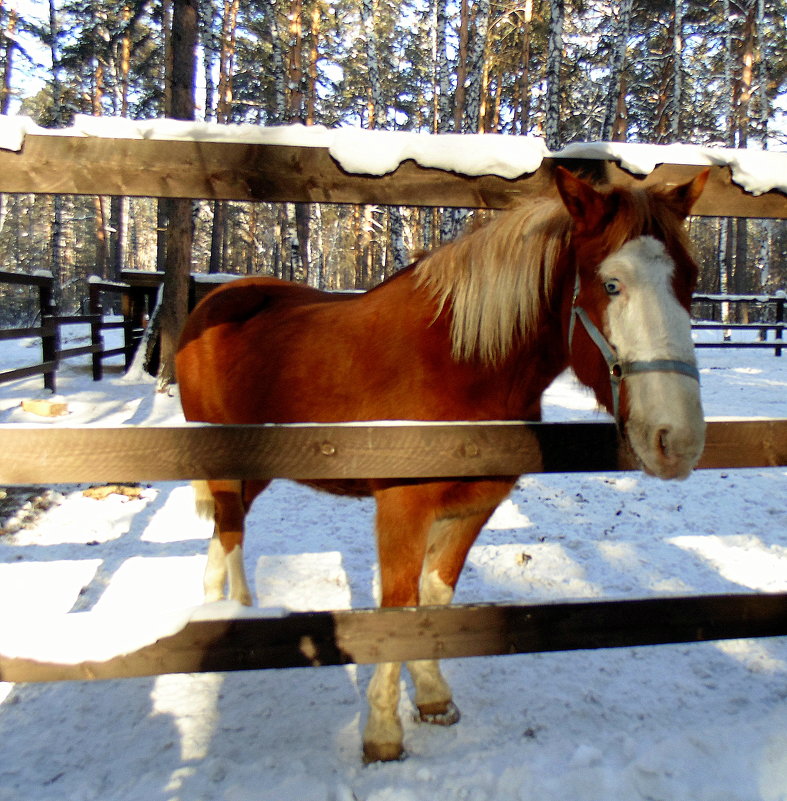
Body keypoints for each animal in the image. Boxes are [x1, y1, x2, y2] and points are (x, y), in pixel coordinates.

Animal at [177, 167, 708, 764]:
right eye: (611, 284)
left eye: (689, 281)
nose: (678, 440)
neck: (460, 364)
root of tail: (217, 299)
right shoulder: (402, 510)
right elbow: (399, 608)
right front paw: (383, 732)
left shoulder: (471, 509)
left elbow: (434, 598)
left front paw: (432, 697)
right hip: (219, 457)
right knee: (230, 527)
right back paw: (231, 614)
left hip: (260, 462)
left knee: (231, 526)